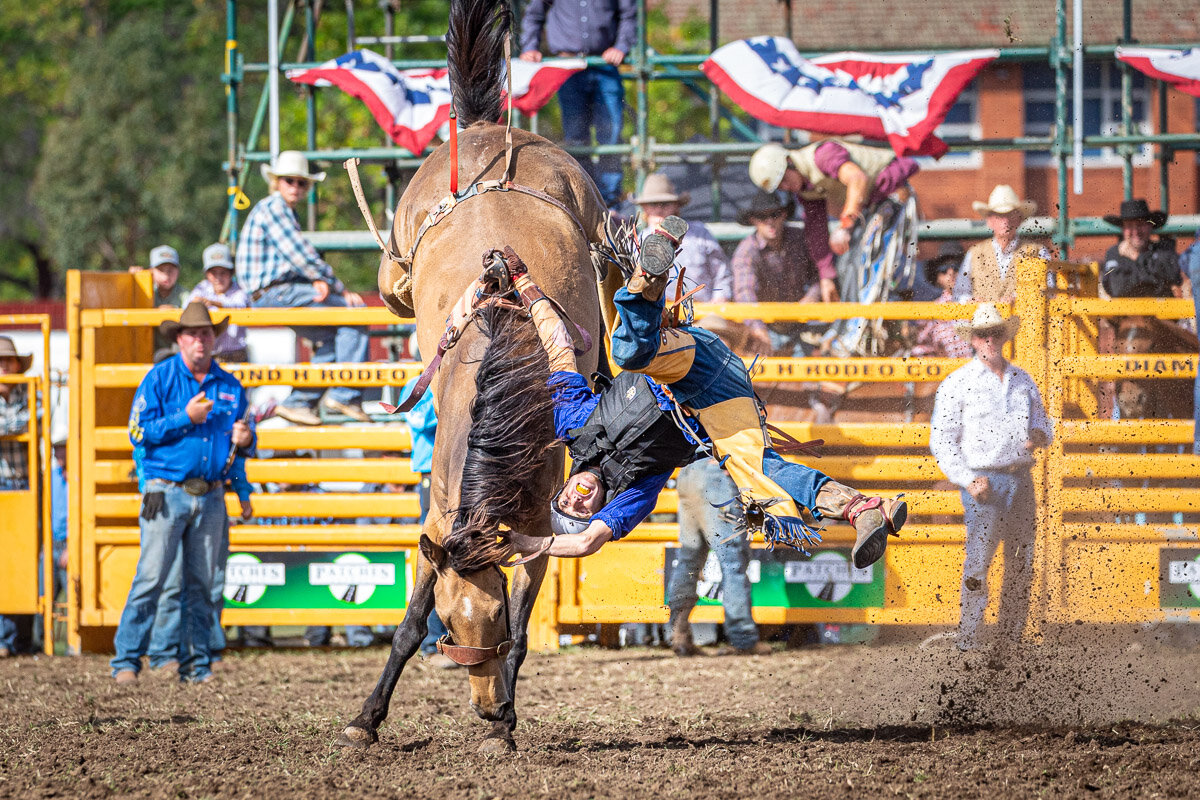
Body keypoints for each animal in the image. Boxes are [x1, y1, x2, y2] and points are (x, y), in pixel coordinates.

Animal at [338, 0, 619, 758]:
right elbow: (404, 624)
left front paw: (507, 723)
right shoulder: (436, 526)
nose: (486, 705)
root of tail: (487, 133)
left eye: (486, 625)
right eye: (450, 625)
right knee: (394, 281)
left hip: (599, 238)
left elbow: (526, 627)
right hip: (394, 273)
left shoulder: (536, 530)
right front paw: (366, 717)